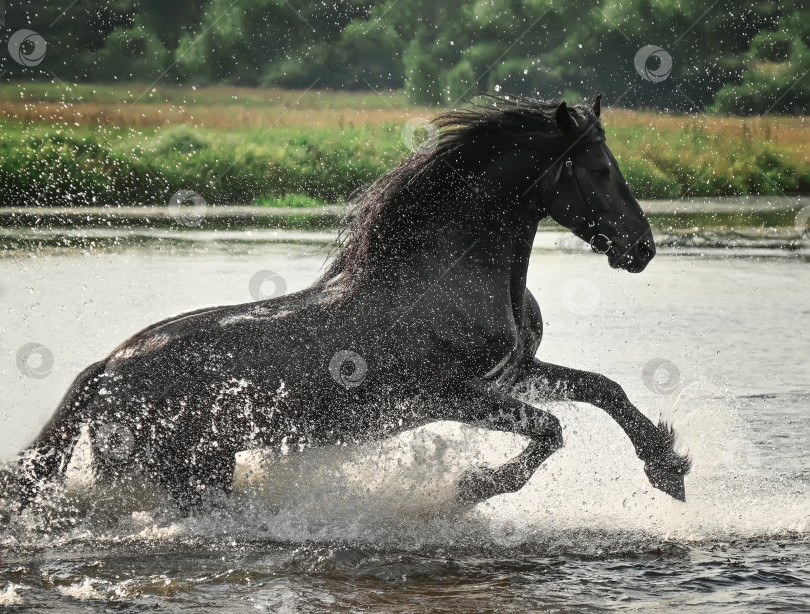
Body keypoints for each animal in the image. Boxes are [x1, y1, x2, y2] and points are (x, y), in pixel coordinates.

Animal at [7, 94, 688, 512]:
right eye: (599, 169)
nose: (642, 247)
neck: (449, 277)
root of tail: (104, 370)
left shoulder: (513, 373)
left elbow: (603, 389)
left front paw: (668, 468)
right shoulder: (442, 396)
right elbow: (550, 430)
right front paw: (466, 490)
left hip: (203, 467)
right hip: (166, 472)